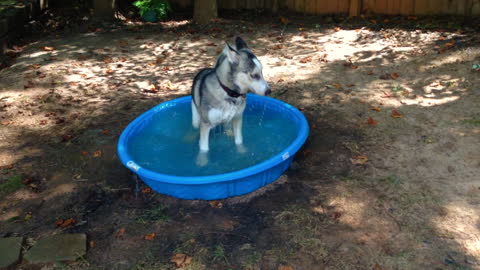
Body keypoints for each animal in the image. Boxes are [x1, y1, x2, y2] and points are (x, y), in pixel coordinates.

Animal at [193, 37, 272, 166]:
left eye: (262, 72)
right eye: (254, 75)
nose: (269, 91)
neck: (229, 93)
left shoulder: (237, 118)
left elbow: (239, 140)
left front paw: (241, 152)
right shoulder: (205, 124)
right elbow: (204, 148)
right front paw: (202, 160)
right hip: (195, 118)